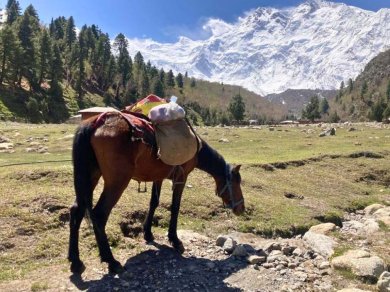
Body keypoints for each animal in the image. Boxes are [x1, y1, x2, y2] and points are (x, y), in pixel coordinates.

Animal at [68, 111, 244, 274]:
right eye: (237, 182)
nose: (241, 208)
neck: (196, 148)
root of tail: (95, 124)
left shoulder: (158, 178)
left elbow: (154, 202)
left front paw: (148, 234)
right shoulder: (181, 177)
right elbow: (175, 207)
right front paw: (175, 240)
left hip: (90, 177)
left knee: (77, 211)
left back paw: (75, 261)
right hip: (116, 182)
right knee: (99, 215)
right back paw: (111, 261)